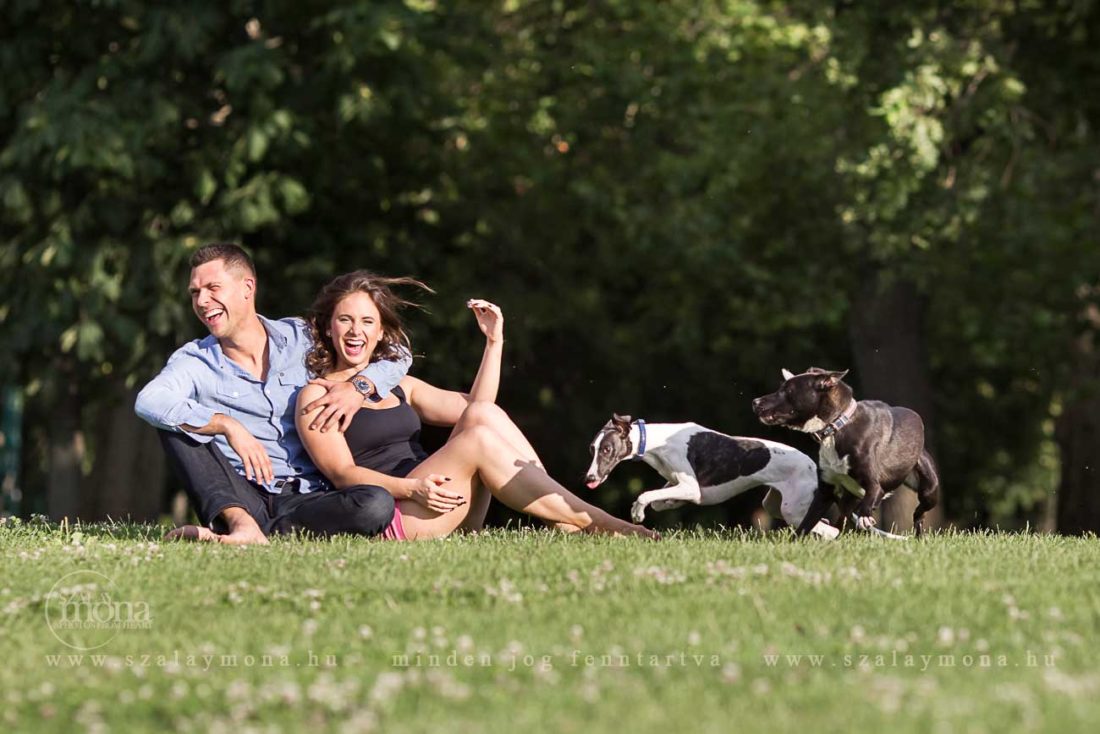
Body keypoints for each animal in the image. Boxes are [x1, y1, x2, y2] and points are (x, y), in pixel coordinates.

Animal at [584, 414, 840, 538]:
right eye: (592, 449)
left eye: (607, 449)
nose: (589, 478)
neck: (657, 441)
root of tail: (812, 465)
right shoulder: (676, 483)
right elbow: (659, 501)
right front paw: (669, 503)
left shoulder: (690, 486)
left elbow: (645, 495)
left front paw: (637, 512)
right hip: (776, 505)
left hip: (791, 510)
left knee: (832, 532)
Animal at [752, 367, 940, 537]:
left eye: (787, 390)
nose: (755, 401)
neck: (836, 427)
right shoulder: (825, 491)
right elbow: (807, 522)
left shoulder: (874, 485)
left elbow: (871, 496)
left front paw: (865, 518)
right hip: (848, 499)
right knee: (840, 522)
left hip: (929, 490)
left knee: (919, 514)